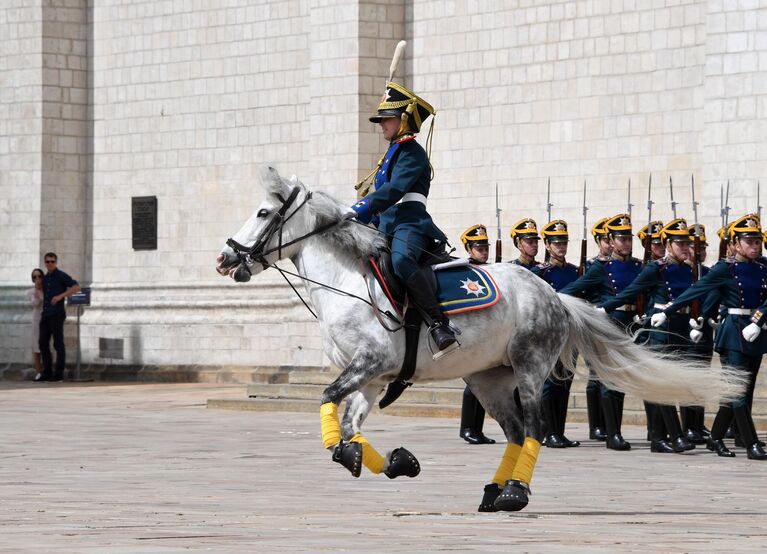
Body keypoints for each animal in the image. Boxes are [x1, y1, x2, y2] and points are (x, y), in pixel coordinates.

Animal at [216, 166, 744, 512]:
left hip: (529, 370)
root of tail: (553, 294)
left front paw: (361, 456)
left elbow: (327, 401)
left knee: (533, 429)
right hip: (489, 380)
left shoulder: (368, 364)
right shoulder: (371, 376)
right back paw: (496, 490)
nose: (226, 259)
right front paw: (393, 461)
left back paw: (515, 493)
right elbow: (348, 425)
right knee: (512, 432)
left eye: (262, 211)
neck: (346, 281)